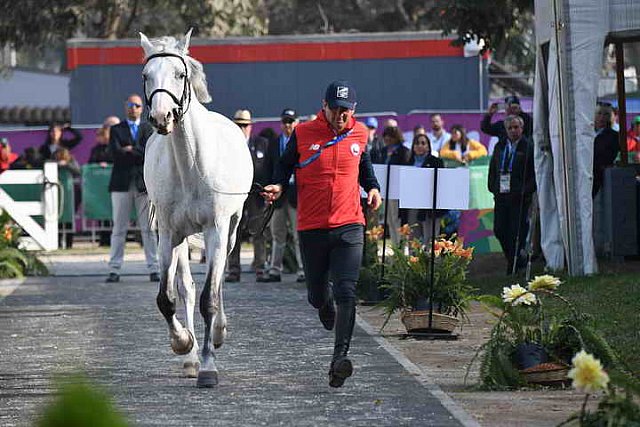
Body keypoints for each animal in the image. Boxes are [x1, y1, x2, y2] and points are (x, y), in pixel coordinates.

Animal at [140, 30, 252, 388]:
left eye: (180, 74)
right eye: (146, 76)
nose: (161, 117)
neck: (191, 166)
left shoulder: (216, 229)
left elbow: (209, 299)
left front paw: (208, 367)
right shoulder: (168, 234)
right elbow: (168, 298)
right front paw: (183, 344)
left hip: (231, 230)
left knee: (218, 283)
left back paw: (217, 335)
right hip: (179, 239)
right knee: (186, 288)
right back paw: (189, 358)